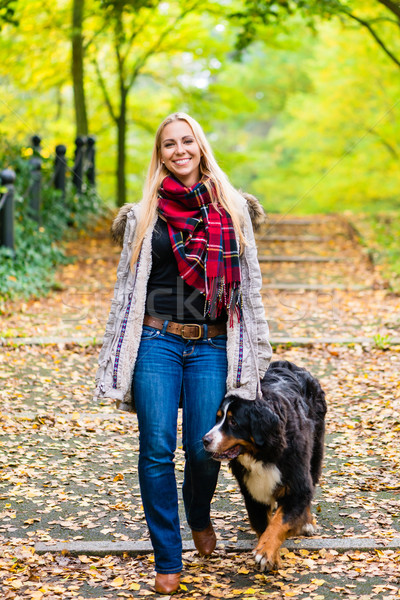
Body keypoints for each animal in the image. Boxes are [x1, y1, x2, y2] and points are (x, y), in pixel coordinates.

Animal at [203, 358, 324, 568]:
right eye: (218, 418)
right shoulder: (253, 491)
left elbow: (279, 522)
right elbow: (263, 524)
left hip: (315, 452)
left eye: (233, 422)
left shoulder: (296, 484)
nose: (205, 440)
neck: (264, 454)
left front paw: (266, 553)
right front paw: (271, 556)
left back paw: (307, 522)